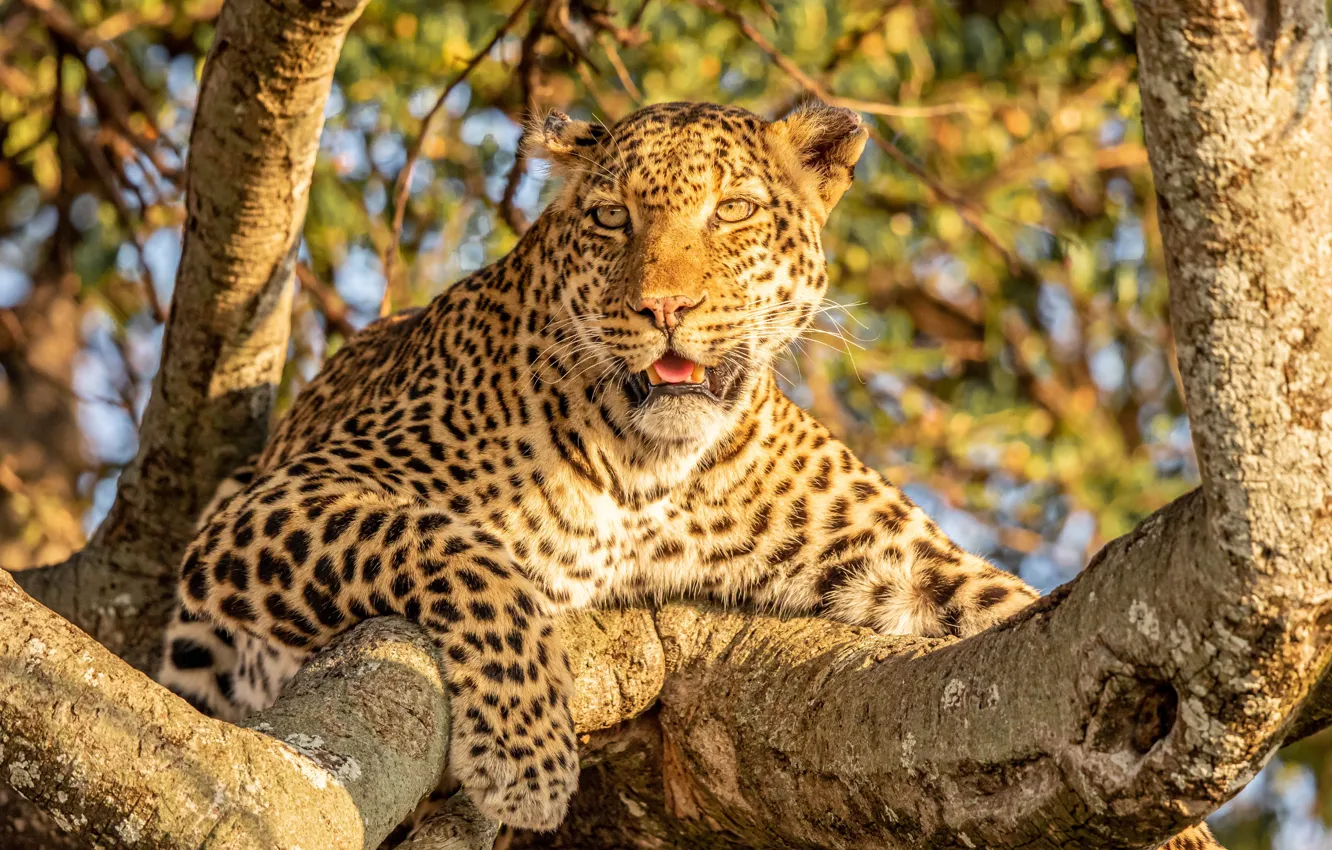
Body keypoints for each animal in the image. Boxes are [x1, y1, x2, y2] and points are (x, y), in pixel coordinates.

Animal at [151, 101, 1220, 850]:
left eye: (734, 211)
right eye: (612, 219)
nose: (665, 307)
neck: (650, 467)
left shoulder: (904, 562)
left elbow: (1013, 612)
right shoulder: (275, 499)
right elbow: (464, 556)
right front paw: (527, 752)